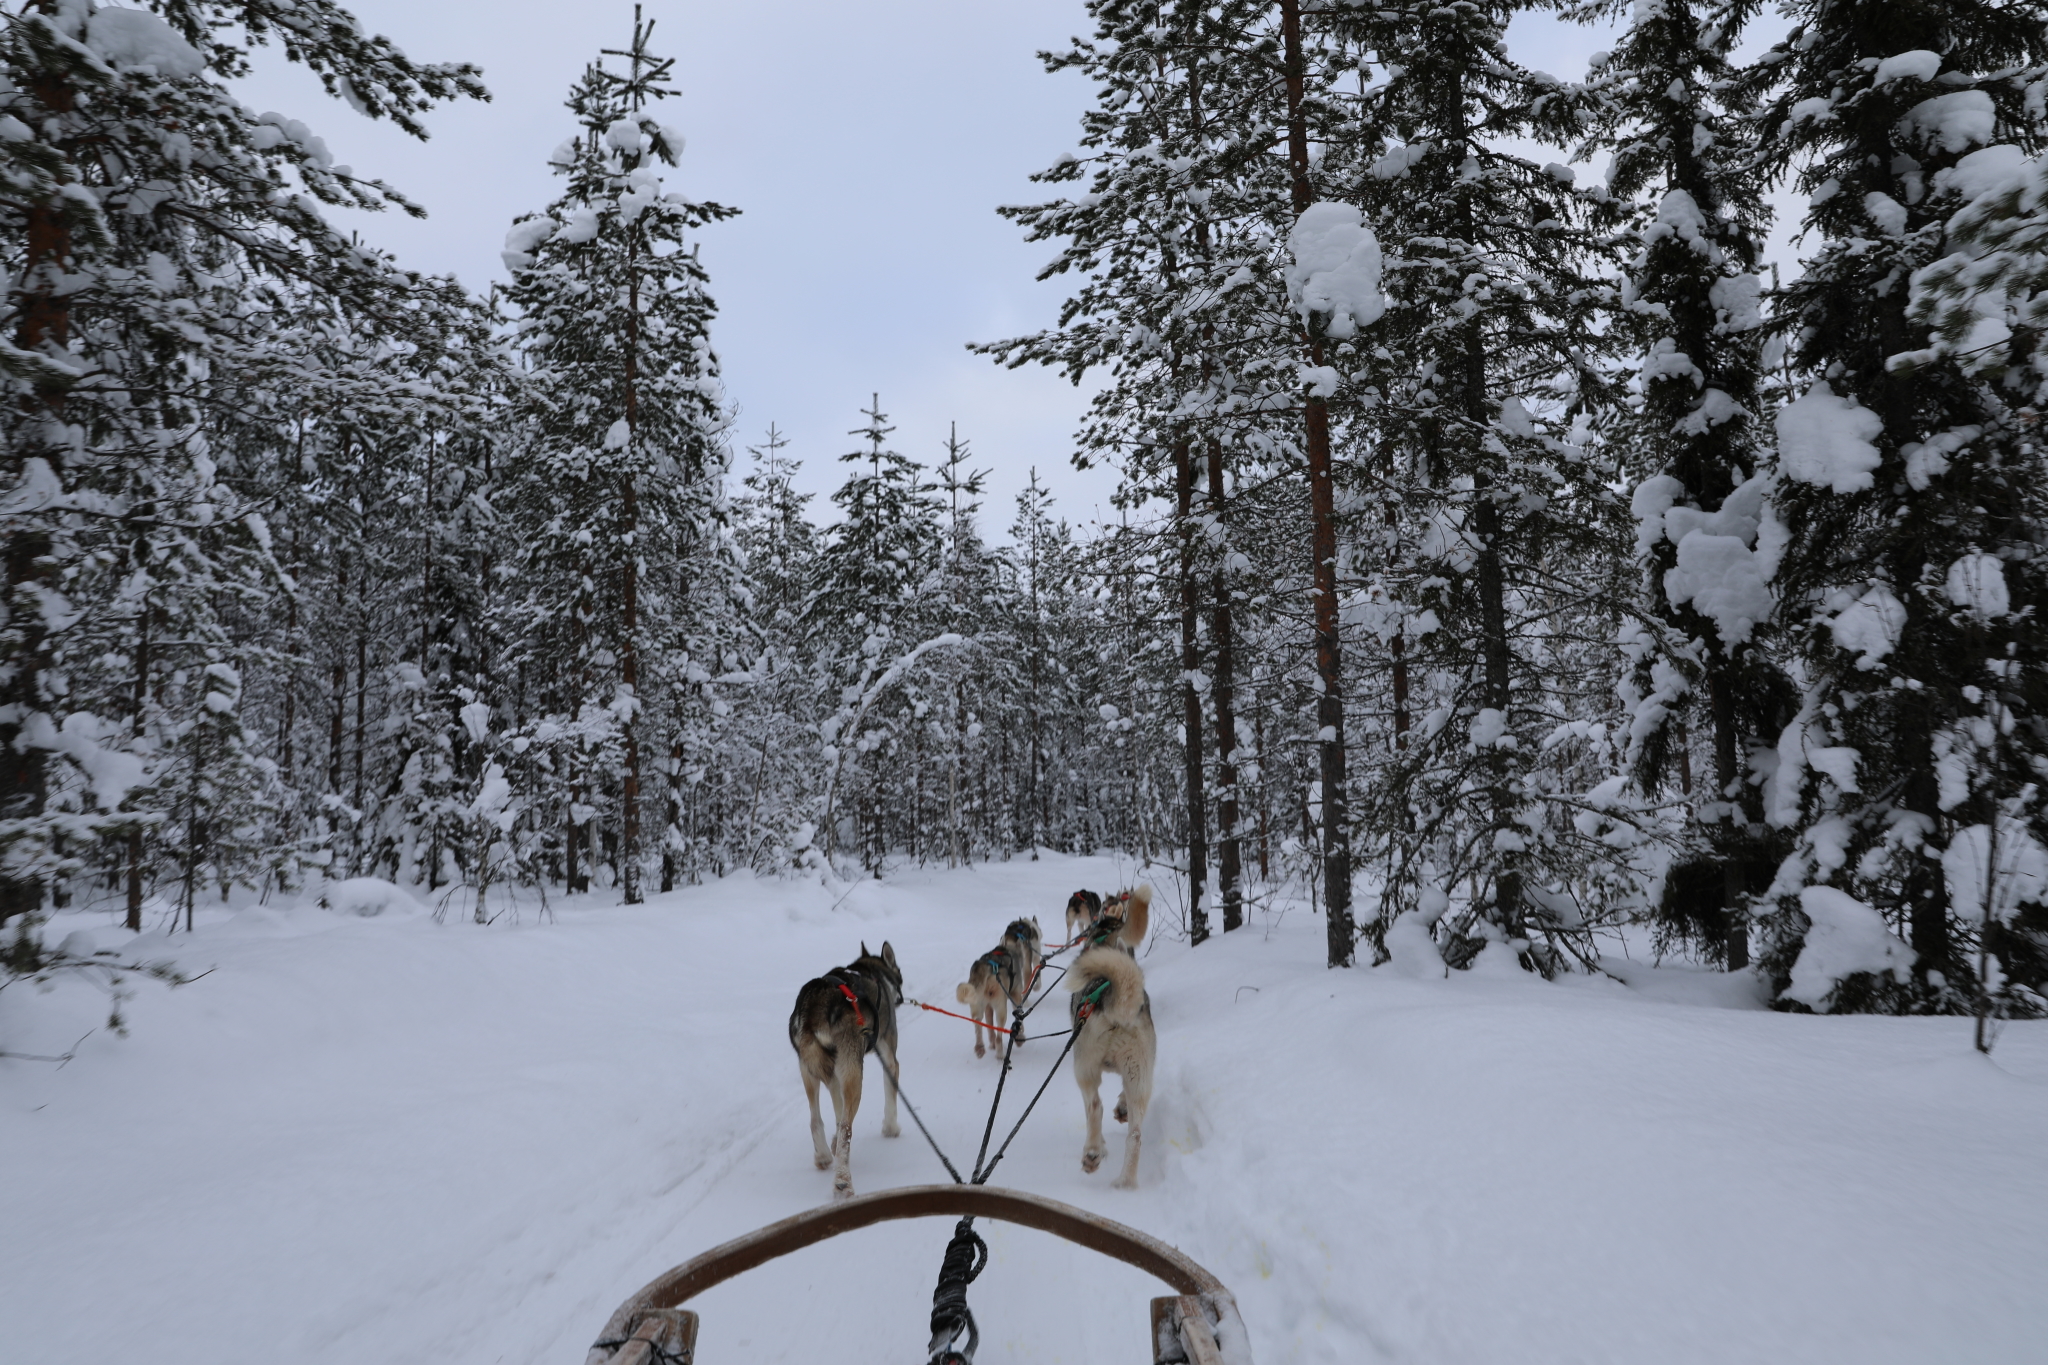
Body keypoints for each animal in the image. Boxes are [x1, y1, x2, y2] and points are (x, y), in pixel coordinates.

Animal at [786, 945, 901, 1203]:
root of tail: (815, 1007)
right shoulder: (888, 1057)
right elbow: (891, 1092)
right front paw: (891, 1128)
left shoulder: (830, 1074)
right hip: (853, 1073)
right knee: (847, 1128)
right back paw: (843, 1183)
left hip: (809, 1068)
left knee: (817, 1119)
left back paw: (823, 1155)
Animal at [946, 925, 1040, 1064]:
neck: (1008, 948)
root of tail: (987, 967)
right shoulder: (1016, 997)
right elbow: (1019, 1018)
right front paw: (1020, 1036)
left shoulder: (988, 1007)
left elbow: (989, 1027)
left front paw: (991, 1044)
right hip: (1001, 1007)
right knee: (999, 1034)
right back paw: (1000, 1053)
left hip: (977, 1005)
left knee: (978, 1023)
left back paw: (980, 1047)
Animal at [1064, 941, 1163, 1195]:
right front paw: (1122, 1107)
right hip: (1139, 1075)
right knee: (1135, 1136)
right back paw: (1125, 1183)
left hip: (1084, 1069)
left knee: (1095, 1107)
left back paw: (1092, 1153)